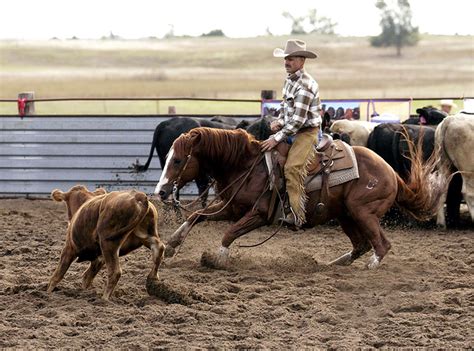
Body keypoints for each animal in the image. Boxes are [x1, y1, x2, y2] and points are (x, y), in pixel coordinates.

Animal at [156, 129, 444, 270]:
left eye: (178, 160)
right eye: (168, 157)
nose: (160, 191)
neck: (245, 165)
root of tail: (392, 173)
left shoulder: (259, 214)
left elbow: (229, 233)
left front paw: (217, 259)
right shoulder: (234, 207)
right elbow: (197, 216)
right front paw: (171, 245)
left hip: (362, 212)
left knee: (381, 244)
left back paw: (370, 266)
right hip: (346, 215)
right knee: (361, 245)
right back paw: (333, 264)